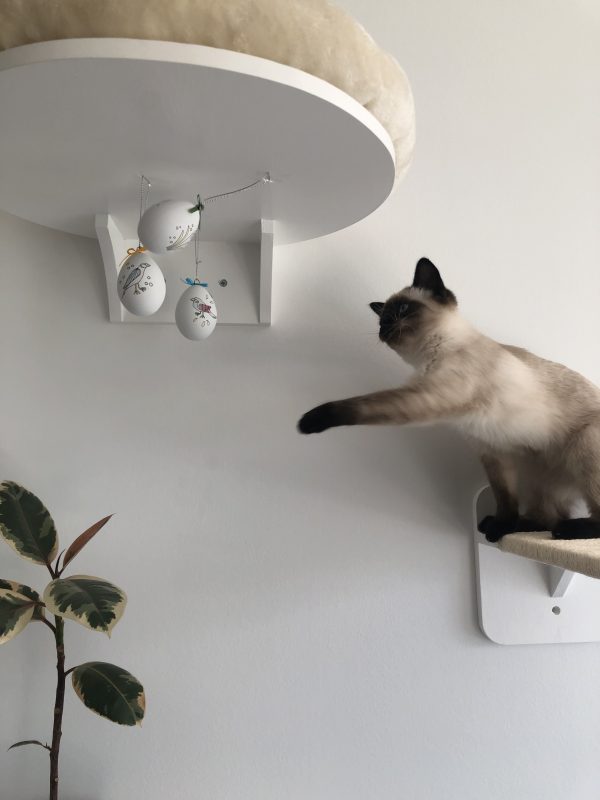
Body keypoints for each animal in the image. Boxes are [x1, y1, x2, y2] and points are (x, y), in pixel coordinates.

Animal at [298, 257, 600, 541]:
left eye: (403, 309)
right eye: (381, 319)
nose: (384, 327)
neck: (427, 357)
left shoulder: (432, 396)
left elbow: (363, 405)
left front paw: (308, 422)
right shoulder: (492, 450)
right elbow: (505, 501)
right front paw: (501, 526)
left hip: (584, 446)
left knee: (578, 517)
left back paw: (566, 531)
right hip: (533, 474)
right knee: (547, 516)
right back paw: (510, 527)